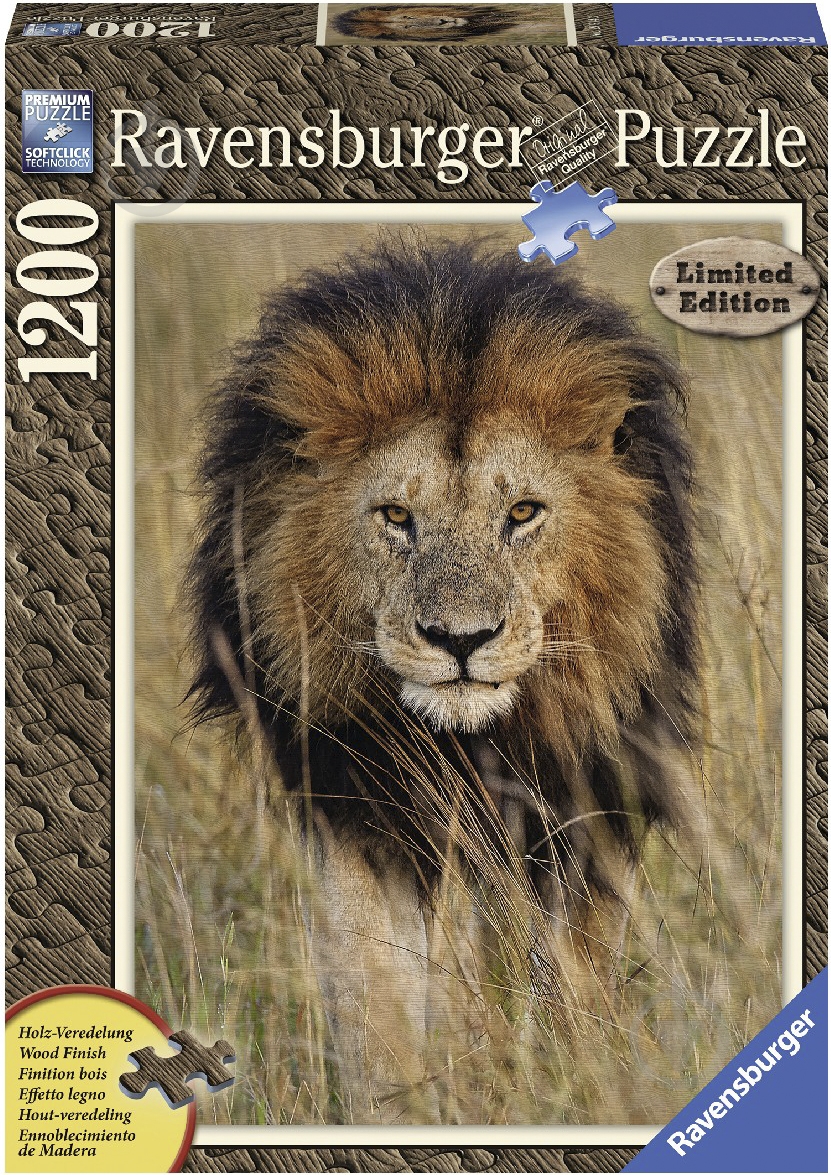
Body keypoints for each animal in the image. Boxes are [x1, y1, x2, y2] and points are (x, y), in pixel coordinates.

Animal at [186, 239, 697, 1123]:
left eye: (522, 513)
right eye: (395, 516)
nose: (460, 640)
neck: (472, 740)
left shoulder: (586, 798)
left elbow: (566, 973)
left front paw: (565, 1079)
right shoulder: (359, 805)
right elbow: (377, 990)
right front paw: (397, 1107)